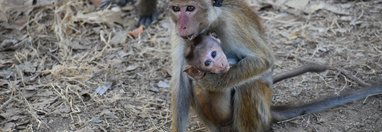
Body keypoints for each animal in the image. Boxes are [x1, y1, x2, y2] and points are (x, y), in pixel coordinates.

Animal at [169, 0, 382, 131]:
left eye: (190, 8)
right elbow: (181, 85)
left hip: (261, 108)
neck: (212, 22)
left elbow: (263, 61)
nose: (182, 26)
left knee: (248, 84)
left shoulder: (232, 25)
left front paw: (211, 81)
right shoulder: (185, 40)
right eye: (176, 9)